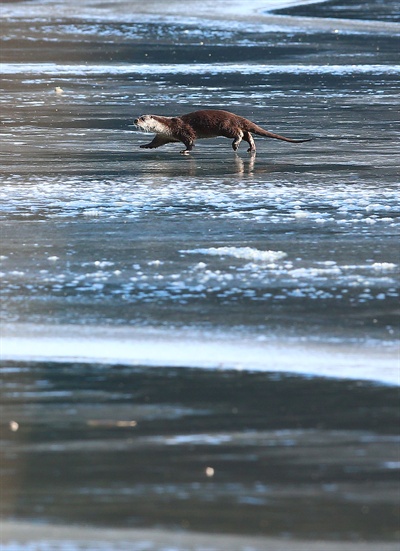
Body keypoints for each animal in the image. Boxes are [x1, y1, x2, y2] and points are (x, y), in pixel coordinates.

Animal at [135, 109, 312, 154]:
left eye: (142, 118)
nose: (134, 120)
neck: (167, 127)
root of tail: (237, 116)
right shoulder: (163, 136)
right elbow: (155, 142)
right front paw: (145, 145)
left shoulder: (183, 130)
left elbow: (190, 140)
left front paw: (185, 150)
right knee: (248, 134)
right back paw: (251, 148)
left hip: (225, 127)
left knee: (239, 133)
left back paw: (235, 145)